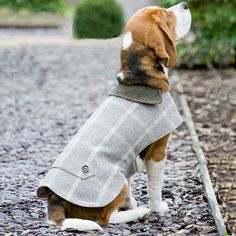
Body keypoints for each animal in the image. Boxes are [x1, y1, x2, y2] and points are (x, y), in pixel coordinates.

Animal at [37, 2, 192, 232]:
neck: (140, 79)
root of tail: (55, 200)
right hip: (116, 181)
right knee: (104, 219)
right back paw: (138, 213)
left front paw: (131, 202)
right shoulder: (158, 152)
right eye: (165, 14)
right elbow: (155, 186)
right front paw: (158, 208)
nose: (185, 4)